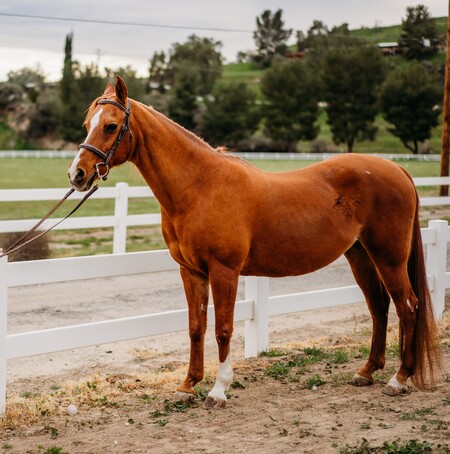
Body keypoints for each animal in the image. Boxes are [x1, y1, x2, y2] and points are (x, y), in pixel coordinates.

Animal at [67, 76, 440, 410]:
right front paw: (187, 386)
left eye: (111, 126)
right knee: (379, 307)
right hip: (360, 255)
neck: (201, 186)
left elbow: (223, 329)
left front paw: (218, 390)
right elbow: (195, 328)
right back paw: (367, 372)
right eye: (87, 124)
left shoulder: (224, 271)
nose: (77, 174)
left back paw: (399, 379)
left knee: (408, 306)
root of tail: (397, 169)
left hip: (389, 257)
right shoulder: (191, 272)